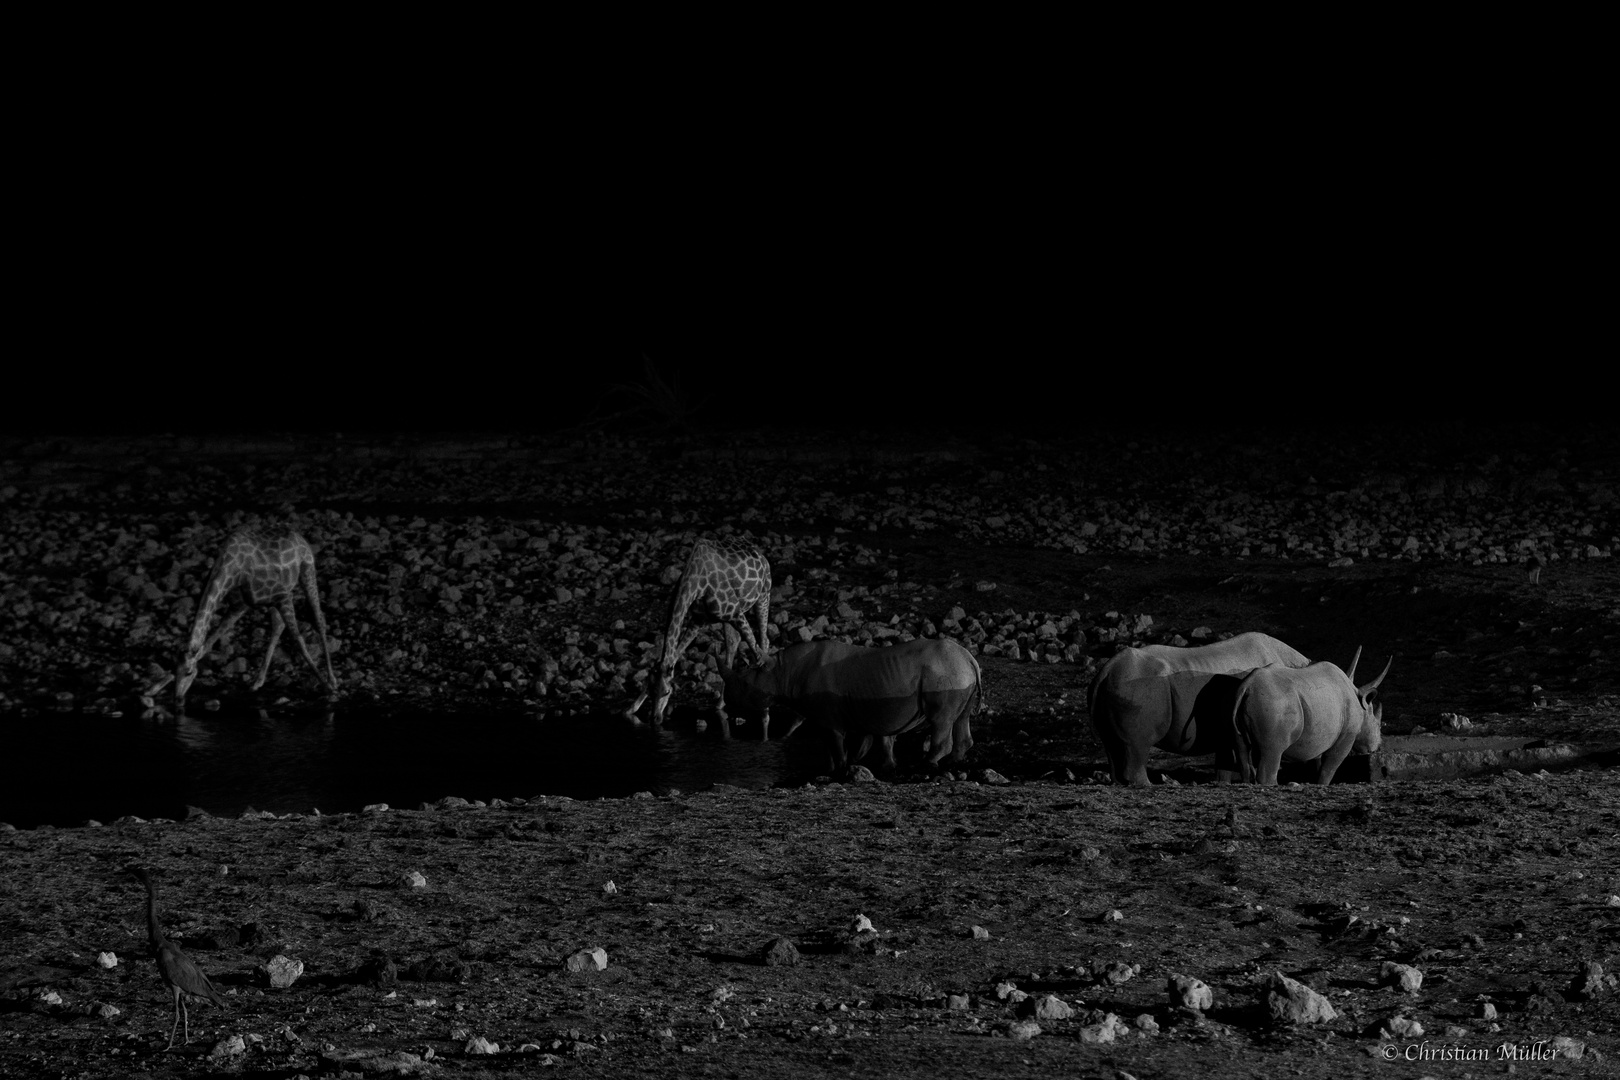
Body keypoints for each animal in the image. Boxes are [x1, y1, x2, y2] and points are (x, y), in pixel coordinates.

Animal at [152, 524, 341, 709]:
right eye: (174, 669)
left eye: (189, 672)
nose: (178, 699)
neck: (230, 570)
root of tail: (300, 536)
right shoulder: (240, 604)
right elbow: (210, 641)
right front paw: (156, 687)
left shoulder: (283, 595)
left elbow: (298, 639)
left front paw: (326, 687)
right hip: (273, 600)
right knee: (278, 625)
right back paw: (257, 682)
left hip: (307, 571)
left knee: (319, 620)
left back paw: (332, 680)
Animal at [625, 537, 771, 735]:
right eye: (650, 688)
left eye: (667, 692)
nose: (656, 719)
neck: (696, 580)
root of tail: (762, 555)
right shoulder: (698, 620)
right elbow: (673, 655)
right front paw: (631, 709)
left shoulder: (736, 613)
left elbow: (757, 653)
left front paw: (765, 708)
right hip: (726, 617)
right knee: (733, 642)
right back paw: (720, 703)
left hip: (763, 595)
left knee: (763, 641)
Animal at [719, 637, 972, 773]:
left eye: (743, 685)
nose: (727, 704)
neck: (781, 671)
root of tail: (969, 658)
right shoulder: (837, 716)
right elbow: (842, 748)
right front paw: (839, 768)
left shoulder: (830, 719)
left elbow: (838, 746)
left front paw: (841, 769)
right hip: (956, 673)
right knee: (961, 718)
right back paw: (954, 764)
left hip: (943, 673)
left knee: (941, 719)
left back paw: (925, 765)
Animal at [1082, 628, 1308, 790]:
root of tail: (1106, 670)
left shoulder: (1224, 731)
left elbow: (1224, 760)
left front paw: (1222, 783)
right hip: (1137, 687)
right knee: (1138, 744)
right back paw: (1147, 785)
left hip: (1116, 686)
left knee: (1112, 744)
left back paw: (1119, 782)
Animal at [1231, 647, 1386, 790]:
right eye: (1377, 725)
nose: (1378, 748)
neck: (1361, 704)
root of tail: (1246, 686)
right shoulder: (1347, 735)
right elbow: (1329, 768)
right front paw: (1322, 784)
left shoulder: (1318, 736)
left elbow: (1317, 764)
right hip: (1274, 703)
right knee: (1272, 751)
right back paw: (1273, 784)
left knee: (1242, 751)